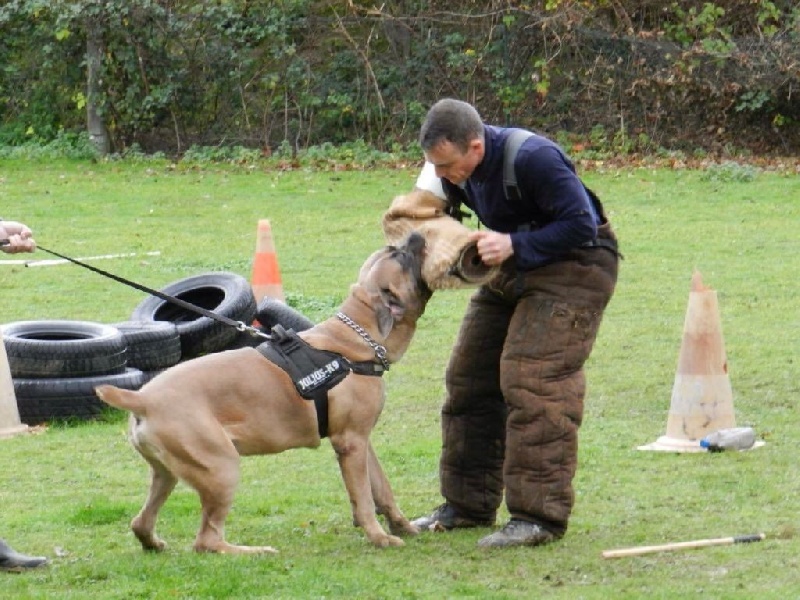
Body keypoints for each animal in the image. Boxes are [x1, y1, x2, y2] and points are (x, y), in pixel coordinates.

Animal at [97, 233, 432, 552]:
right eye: (399, 256)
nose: (417, 235)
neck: (356, 337)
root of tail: (143, 399)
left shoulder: (362, 441)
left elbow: (382, 488)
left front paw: (401, 525)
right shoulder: (350, 443)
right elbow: (363, 498)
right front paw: (378, 536)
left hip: (167, 474)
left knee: (141, 522)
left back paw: (153, 543)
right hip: (222, 468)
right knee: (206, 541)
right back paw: (253, 550)